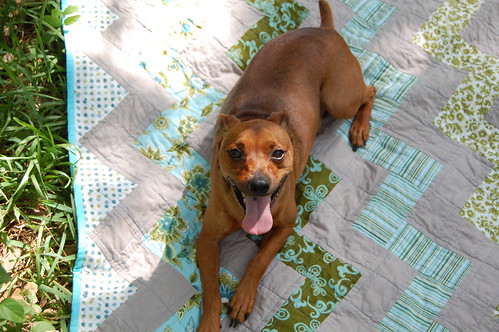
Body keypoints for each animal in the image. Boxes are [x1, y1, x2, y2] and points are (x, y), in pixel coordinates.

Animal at [197, 0, 374, 330]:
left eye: (278, 153)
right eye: (234, 153)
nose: (258, 185)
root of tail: (324, 30)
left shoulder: (285, 225)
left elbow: (258, 260)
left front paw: (242, 299)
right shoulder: (207, 239)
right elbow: (211, 290)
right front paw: (209, 322)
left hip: (340, 99)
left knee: (370, 91)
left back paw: (360, 128)